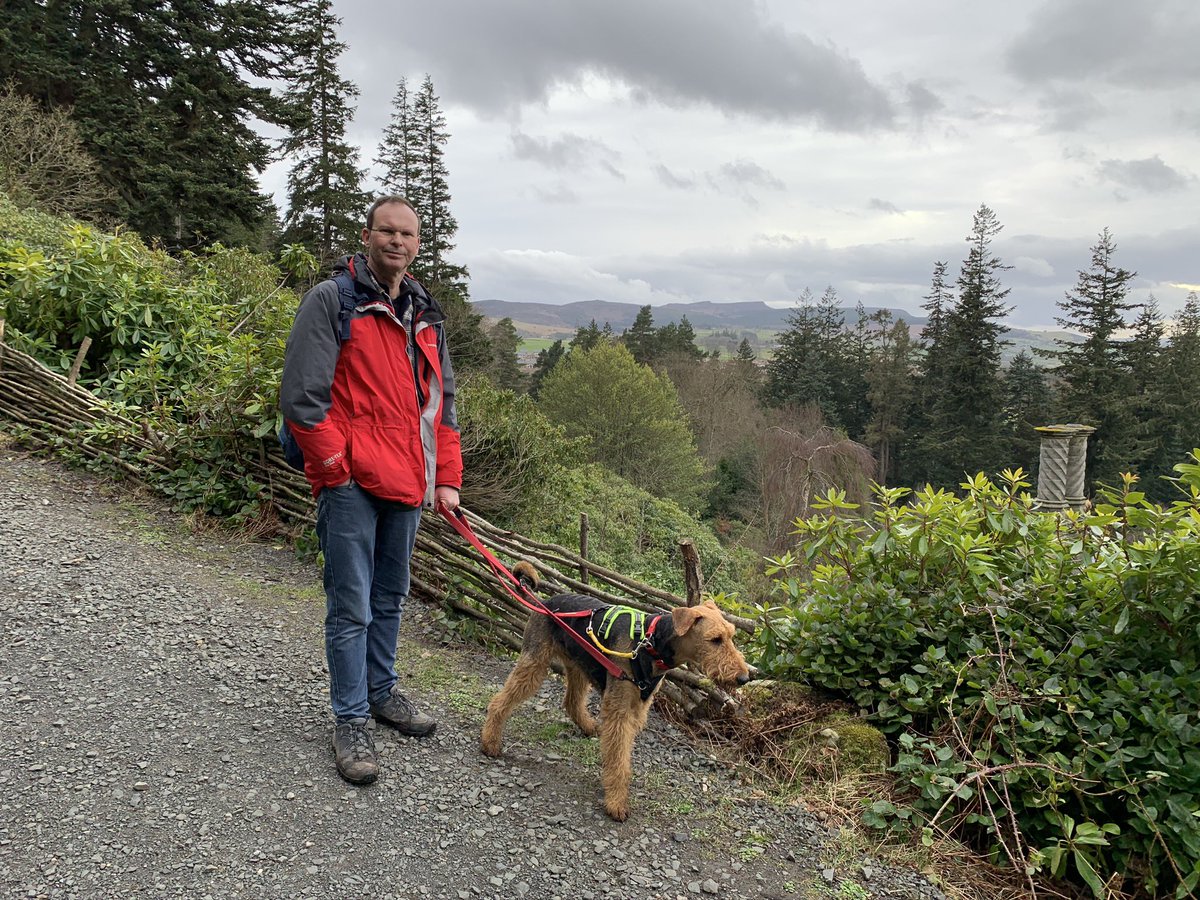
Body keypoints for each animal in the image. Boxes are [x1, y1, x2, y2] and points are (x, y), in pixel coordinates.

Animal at [480, 564, 748, 825]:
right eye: (715, 639)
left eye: (731, 635)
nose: (744, 678)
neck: (652, 643)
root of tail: (545, 602)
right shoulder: (619, 708)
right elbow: (618, 759)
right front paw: (617, 803)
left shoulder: (637, 707)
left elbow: (622, 755)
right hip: (534, 664)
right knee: (500, 701)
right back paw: (490, 742)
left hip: (579, 666)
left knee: (571, 702)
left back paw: (589, 727)